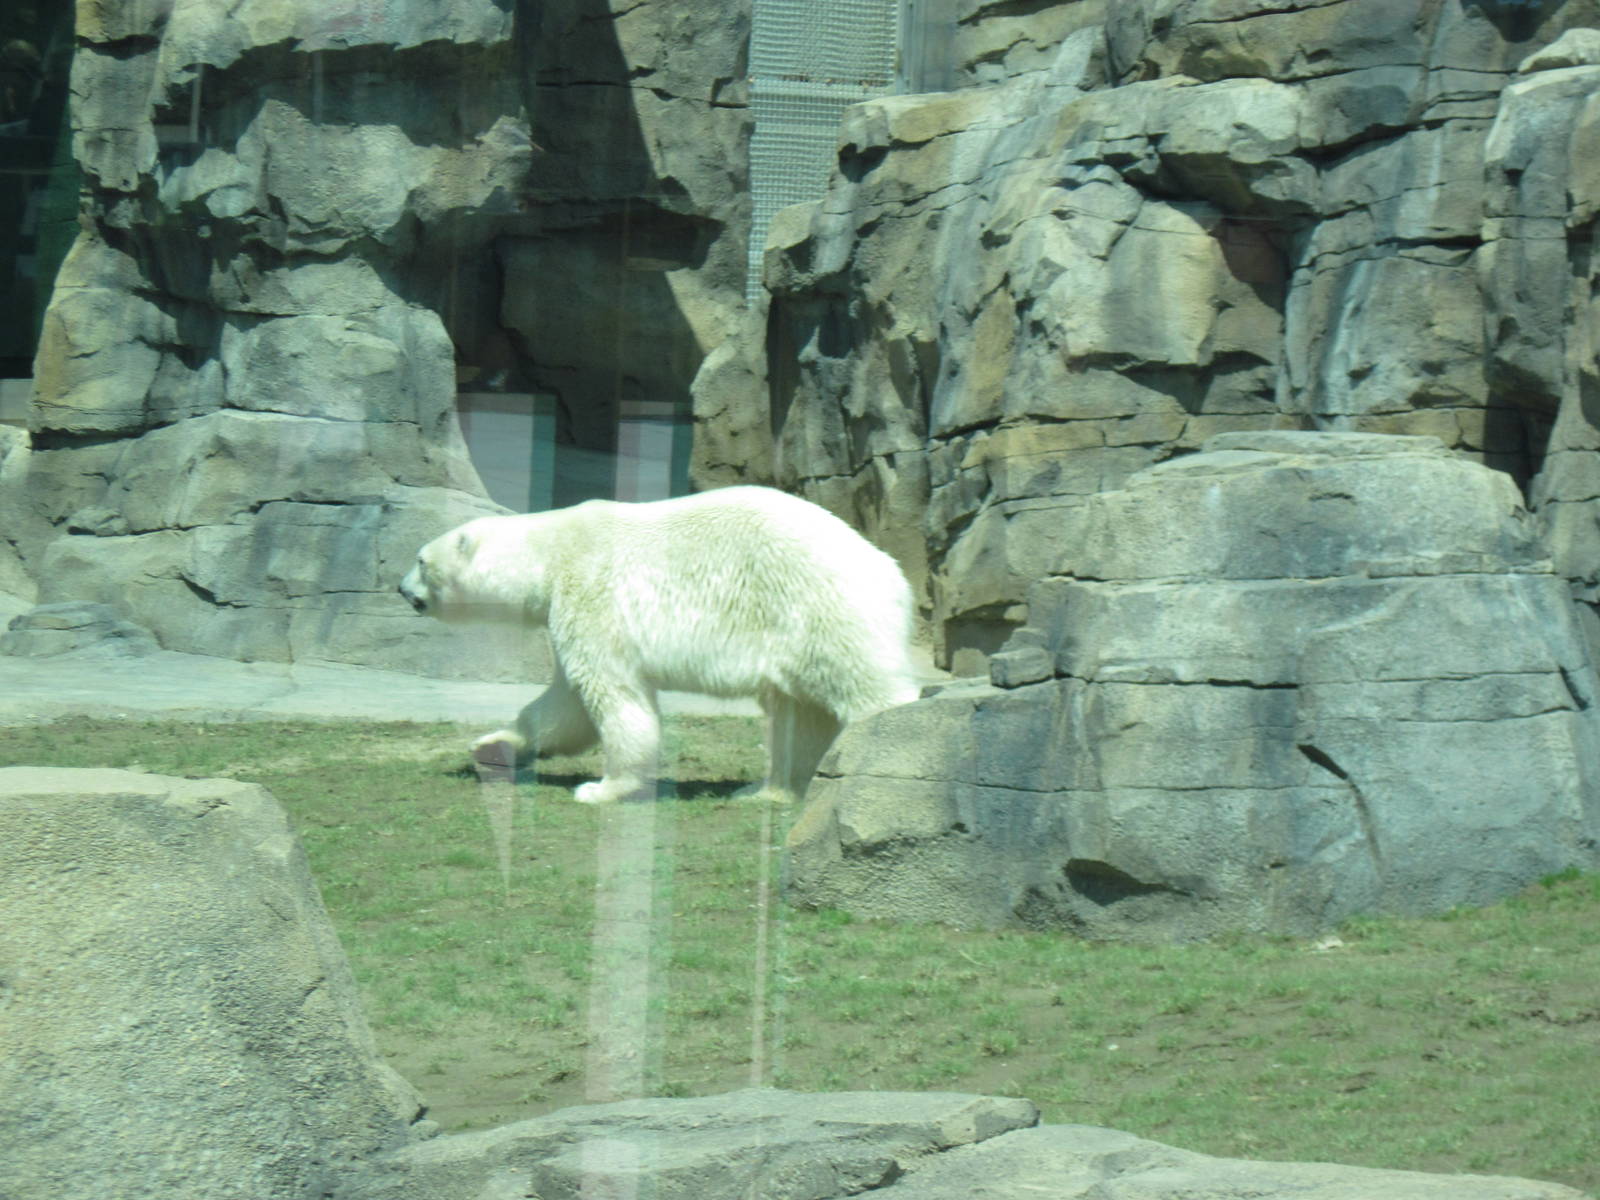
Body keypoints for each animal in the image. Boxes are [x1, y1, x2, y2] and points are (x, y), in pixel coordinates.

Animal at [398, 485, 921, 804]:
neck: (551, 553)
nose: (402, 589)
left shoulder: (591, 599)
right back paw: (762, 791)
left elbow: (611, 697)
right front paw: (491, 745)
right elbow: (564, 708)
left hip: (816, 605)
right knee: (798, 714)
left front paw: (599, 788)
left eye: (421, 560)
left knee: (865, 687)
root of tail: (893, 572)